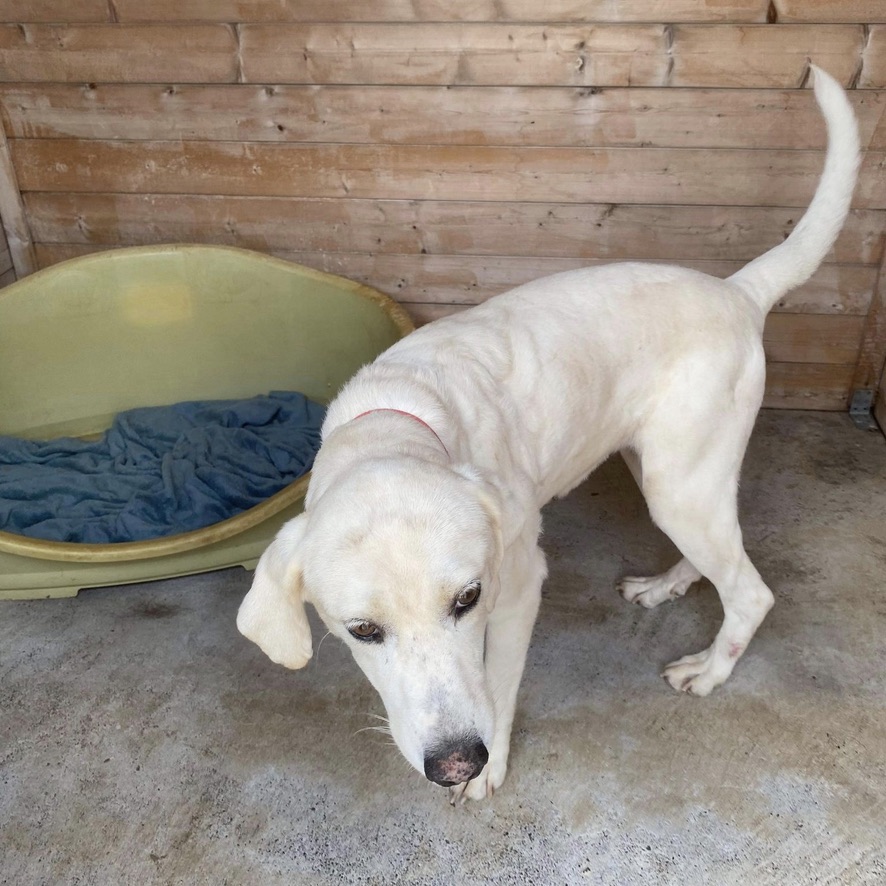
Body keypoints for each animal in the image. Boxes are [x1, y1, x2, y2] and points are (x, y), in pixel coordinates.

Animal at [238, 67, 860, 804]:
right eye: (362, 630)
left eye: (468, 599)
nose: (455, 763)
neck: (397, 417)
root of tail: (737, 292)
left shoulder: (518, 590)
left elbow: (498, 686)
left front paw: (493, 769)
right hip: (671, 475)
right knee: (718, 554)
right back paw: (667, 584)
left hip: (678, 484)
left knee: (751, 592)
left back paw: (710, 669)